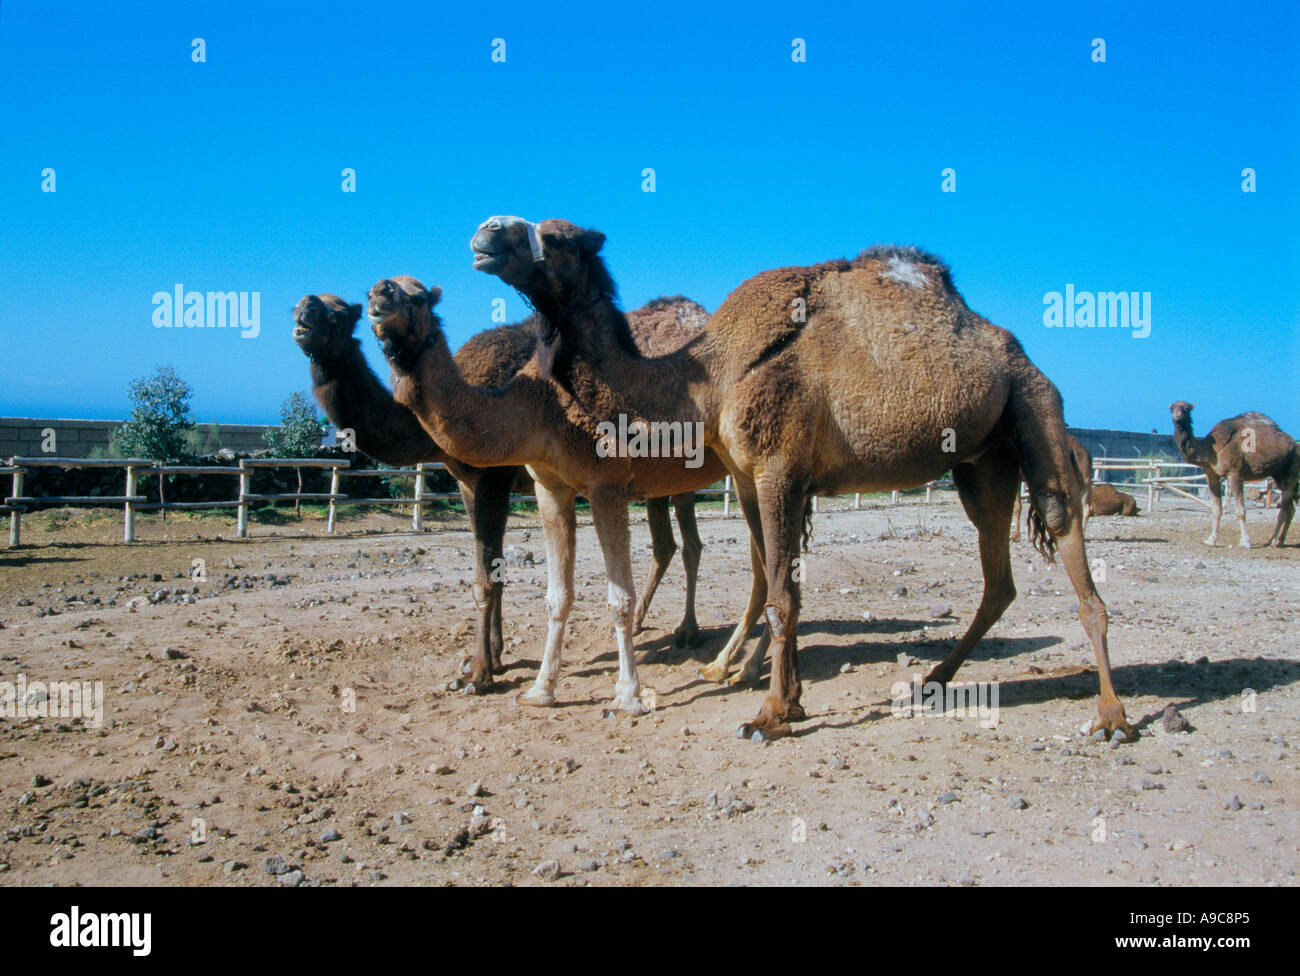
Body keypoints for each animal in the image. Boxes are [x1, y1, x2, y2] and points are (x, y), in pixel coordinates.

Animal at [292, 292, 715, 693]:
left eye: (338, 316)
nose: (304, 313)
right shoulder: (468, 482)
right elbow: (496, 569)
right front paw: (494, 656)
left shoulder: (490, 478)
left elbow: (485, 578)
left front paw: (477, 673)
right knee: (666, 545)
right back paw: (645, 621)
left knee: (691, 545)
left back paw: (688, 632)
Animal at [367, 275, 767, 715]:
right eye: (372, 293)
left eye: (418, 298)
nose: (379, 293)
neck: (536, 406)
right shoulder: (548, 485)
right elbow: (555, 595)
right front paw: (540, 689)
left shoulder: (604, 484)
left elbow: (618, 598)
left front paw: (627, 696)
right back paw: (729, 661)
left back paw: (727, 658)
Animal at [469, 216, 1132, 741]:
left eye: (557, 238)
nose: (485, 233)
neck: (706, 378)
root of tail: (1013, 350)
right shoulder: (746, 474)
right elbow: (776, 584)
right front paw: (783, 698)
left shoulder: (778, 467)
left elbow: (783, 595)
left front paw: (769, 715)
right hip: (981, 464)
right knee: (999, 580)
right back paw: (932, 680)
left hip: (1035, 407)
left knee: (1067, 537)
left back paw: (1112, 717)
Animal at [1169, 401, 1299, 548]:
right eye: (1172, 408)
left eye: (1186, 409)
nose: (1177, 417)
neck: (1212, 449)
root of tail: (1295, 444)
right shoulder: (1212, 474)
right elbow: (1216, 509)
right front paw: (1211, 540)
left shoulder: (1235, 473)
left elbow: (1240, 511)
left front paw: (1245, 541)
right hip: (1278, 474)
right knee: (1290, 509)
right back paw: (1278, 540)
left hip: (1292, 467)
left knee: (1284, 510)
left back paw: (1273, 541)